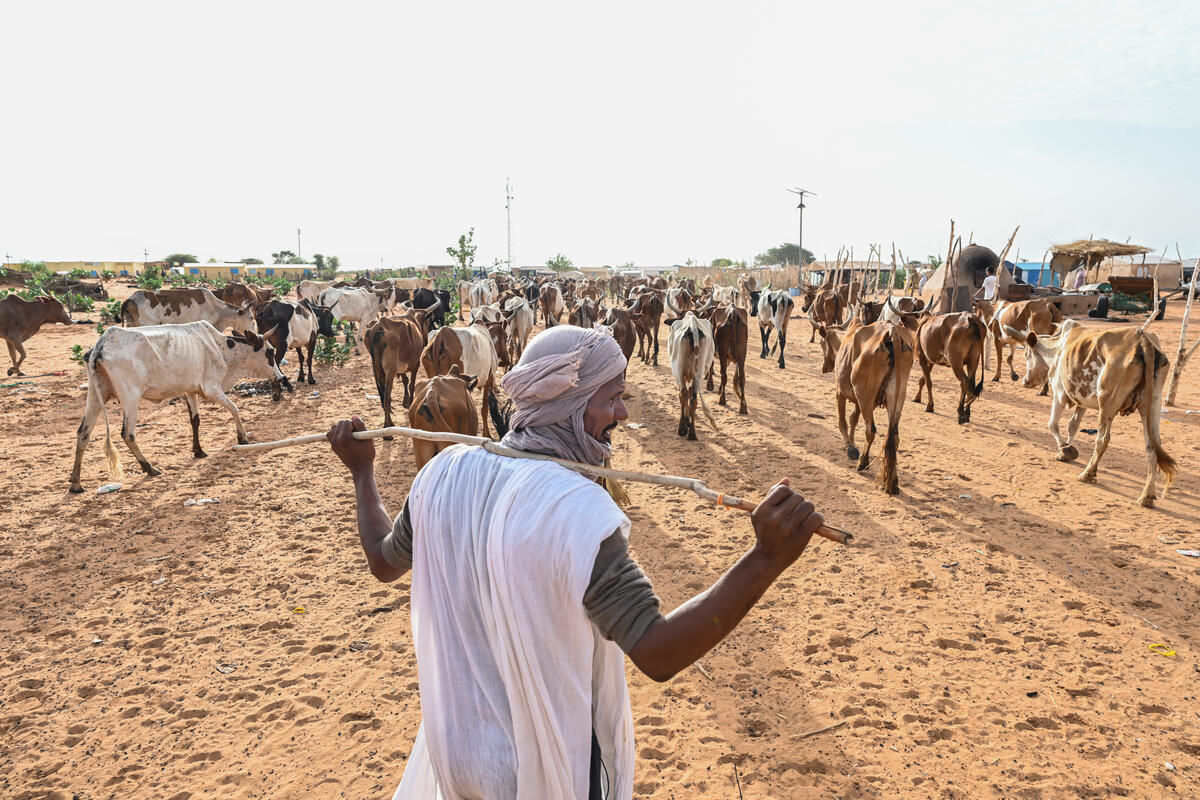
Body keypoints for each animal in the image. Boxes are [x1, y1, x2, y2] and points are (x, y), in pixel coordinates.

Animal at [69, 321, 283, 491]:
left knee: (83, 433)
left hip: (95, 395)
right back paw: (149, 468)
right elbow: (234, 408)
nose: (281, 377)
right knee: (127, 434)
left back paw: (76, 483)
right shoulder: (212, 389)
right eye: (270, 352)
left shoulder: (190, 390)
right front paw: (242, 437)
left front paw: (198, 451)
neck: (221, 348)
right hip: (130, 398)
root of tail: (101, 345)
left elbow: (195, 420)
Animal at [667, 311, 710, 441]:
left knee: (683, 393)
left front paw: (686, 420)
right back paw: (692, 433)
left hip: (678, 369)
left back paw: (682, 429)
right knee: (693, 397)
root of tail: (693, 325)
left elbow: (685, 393)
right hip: (699, 371)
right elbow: (690, 392)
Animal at [1017, 321, 1176, 503]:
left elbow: (1052, 424)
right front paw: (1066, 450)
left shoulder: (1059, 393)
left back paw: (1088, 473)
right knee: (1152, 446)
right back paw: (1147, 496)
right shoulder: (1082, 401)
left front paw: (1065, 449)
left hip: (1108, 403)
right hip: (1152, 404)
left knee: (1102, 440)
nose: (1025, 381)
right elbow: (1073, 426)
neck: (1057, 347)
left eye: (1027, 354)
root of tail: (1143, 340)